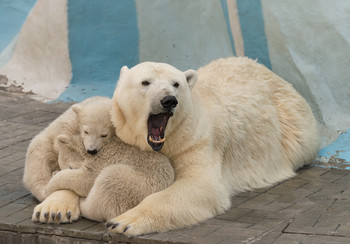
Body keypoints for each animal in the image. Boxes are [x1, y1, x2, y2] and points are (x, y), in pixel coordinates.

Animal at [109, 57, 320, 236]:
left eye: (176, 84)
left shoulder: (195, 140)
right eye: (145, 82)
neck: (168, 141)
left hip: (292, 121)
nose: (169, 100)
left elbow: (201, 184)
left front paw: (123, 221)